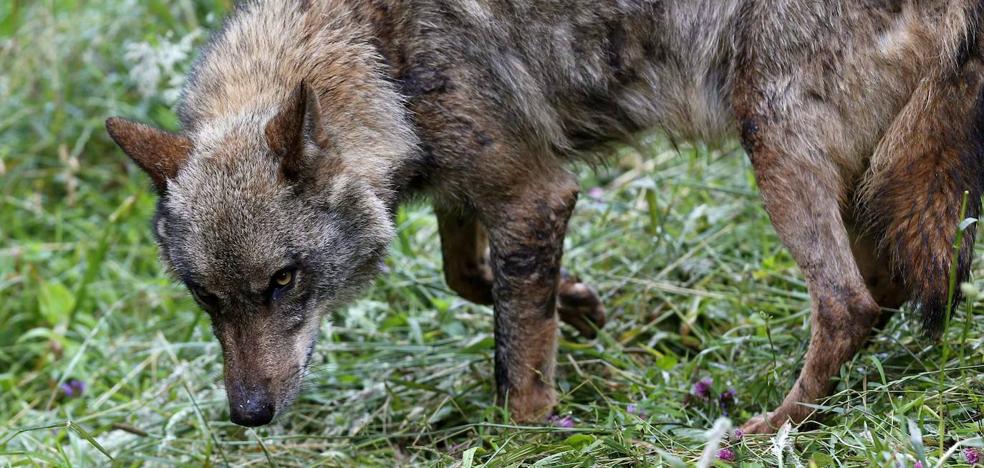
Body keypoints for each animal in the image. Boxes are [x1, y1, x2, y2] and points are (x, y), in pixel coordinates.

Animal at [106, 0, 984, 432]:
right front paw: (583, 308)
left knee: (849, 304)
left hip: (777, 153)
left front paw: (524, 439)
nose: (248, 417)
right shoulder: (470, 189)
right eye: (206, 299)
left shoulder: (533, 193)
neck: (375, 52)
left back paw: (771, 429)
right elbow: (471, 280)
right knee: (900, 286)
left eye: (284, 282)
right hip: (869, 185)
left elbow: (515, 363)